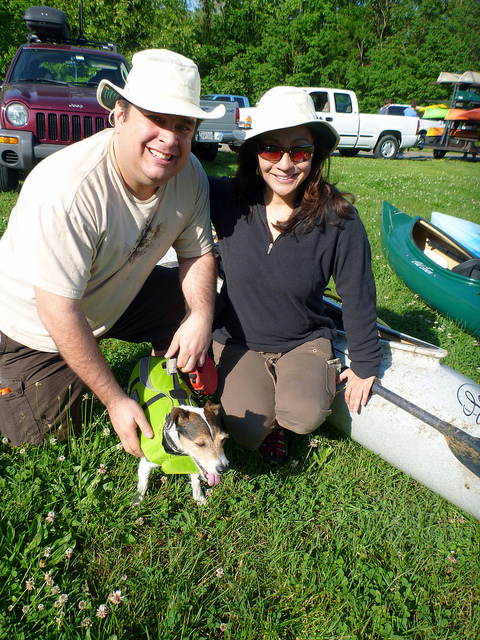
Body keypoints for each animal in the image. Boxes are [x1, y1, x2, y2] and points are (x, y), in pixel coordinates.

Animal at [129, 356, 229, 505]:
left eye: (223, 440)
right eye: (200, 444)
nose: (223, 468)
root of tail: (152, 357)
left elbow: (195, 478)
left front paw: (199, 497)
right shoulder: (146, 464)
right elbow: (143, 484)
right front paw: (137, 501)